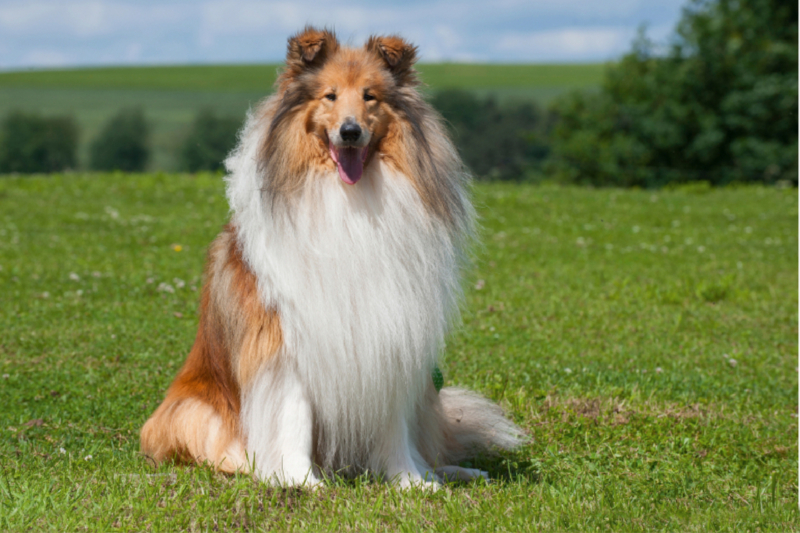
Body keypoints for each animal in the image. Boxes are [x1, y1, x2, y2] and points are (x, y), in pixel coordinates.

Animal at [141, 28, 520, 486]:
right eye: (330, 95)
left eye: (370, 96)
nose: (350, 132)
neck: (350, 199)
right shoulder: (287, 338)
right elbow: (294, 416)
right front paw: (299, 480)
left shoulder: (391, 333)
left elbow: (395, 424)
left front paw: (411, 481)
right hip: (190, 411)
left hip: (430, 397)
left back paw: (453, 471)